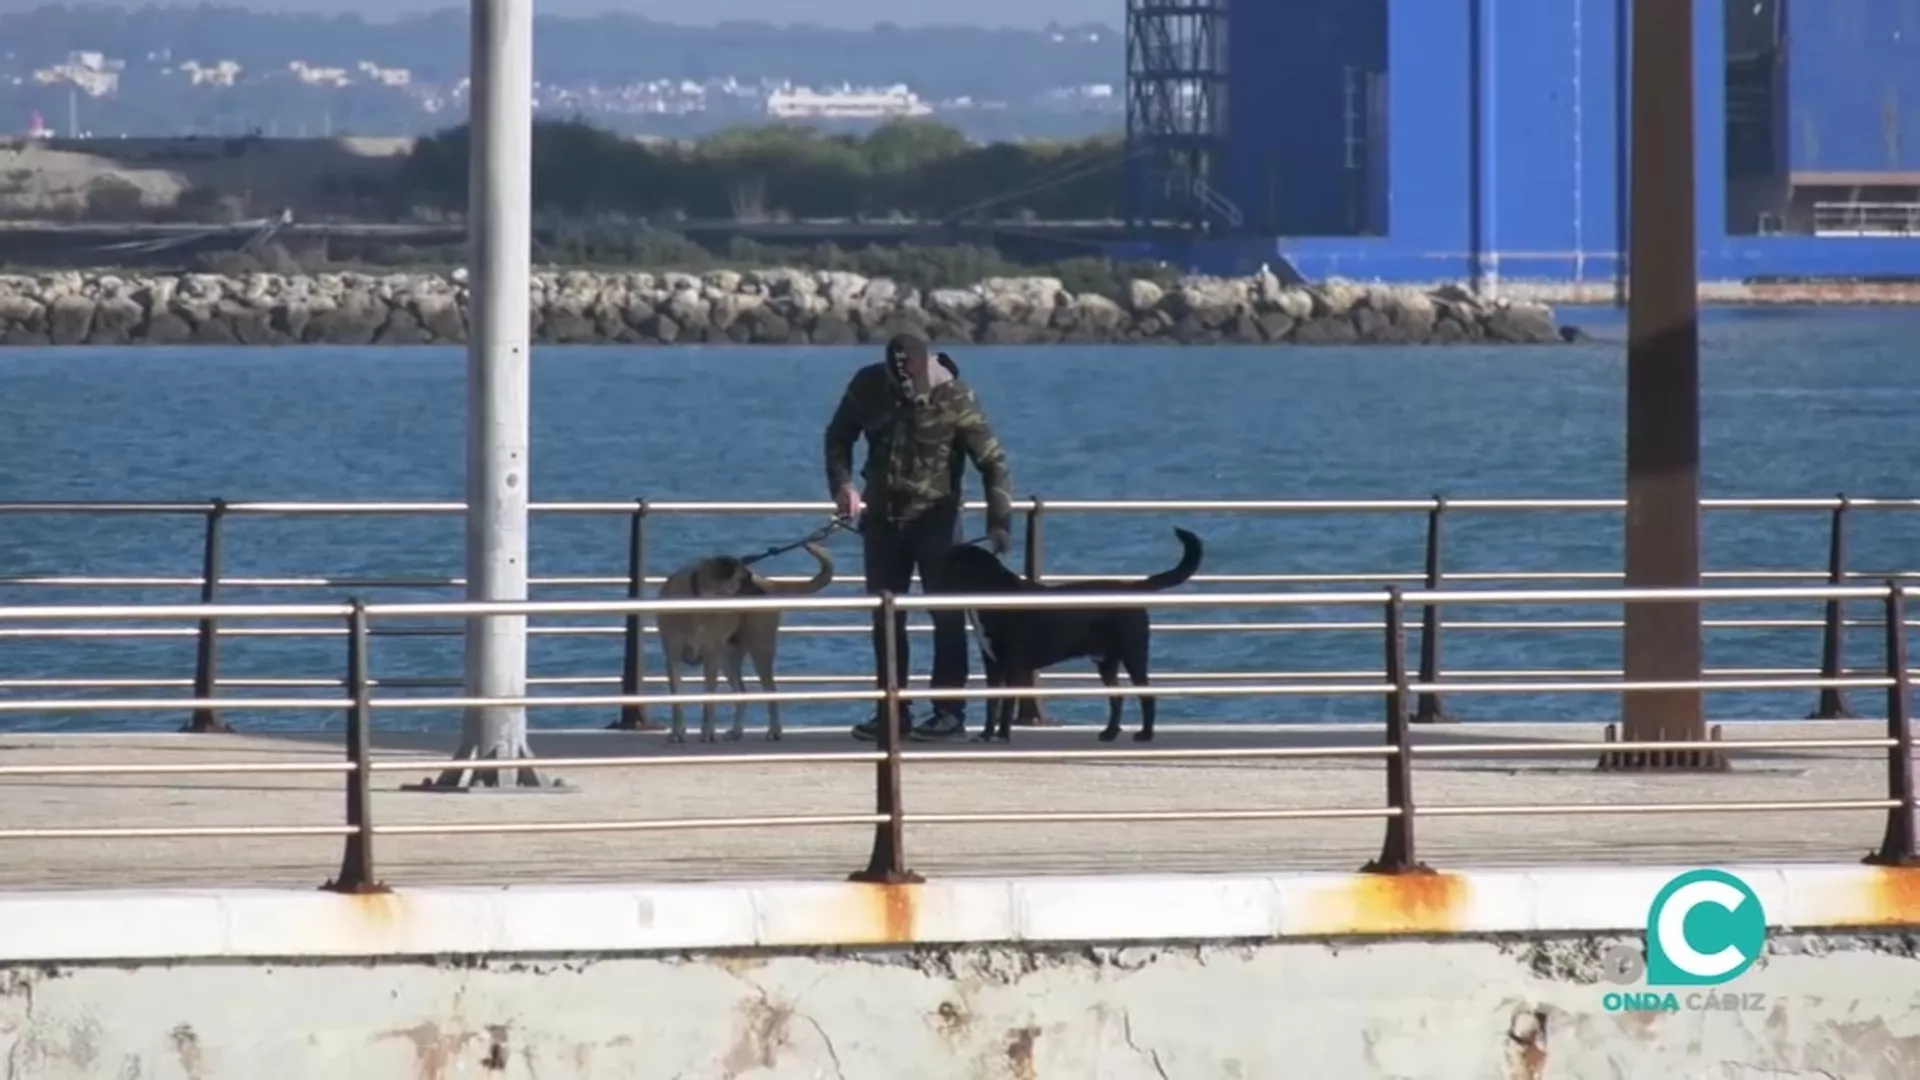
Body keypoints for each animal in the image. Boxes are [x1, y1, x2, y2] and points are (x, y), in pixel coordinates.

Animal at [656, 541, 837, 745]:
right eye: (744, 579)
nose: (762, 594)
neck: (696, 599)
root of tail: (769, 583)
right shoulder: (672, 657)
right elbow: (676, 698)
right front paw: (677, 732)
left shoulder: (711, 658)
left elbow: (709, 700)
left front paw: (708, 732)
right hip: (728, 659)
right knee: (741, 692)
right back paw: (736, 731)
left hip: (760, 650)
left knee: (771, 691)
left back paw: (774, 731)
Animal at [929, 526, 1198, 737]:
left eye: (953, 565)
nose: (932, 581)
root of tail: (1132, 588)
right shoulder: (992, 663)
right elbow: (992, 703)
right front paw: (986, 735)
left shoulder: (1013, 663)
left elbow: (1006, 704)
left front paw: (1002, 736)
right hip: (1106, 662)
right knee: (1117, 697)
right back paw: (1109, 733)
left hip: (1133, 653)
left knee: (1146, 695)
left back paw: (1145, 734)